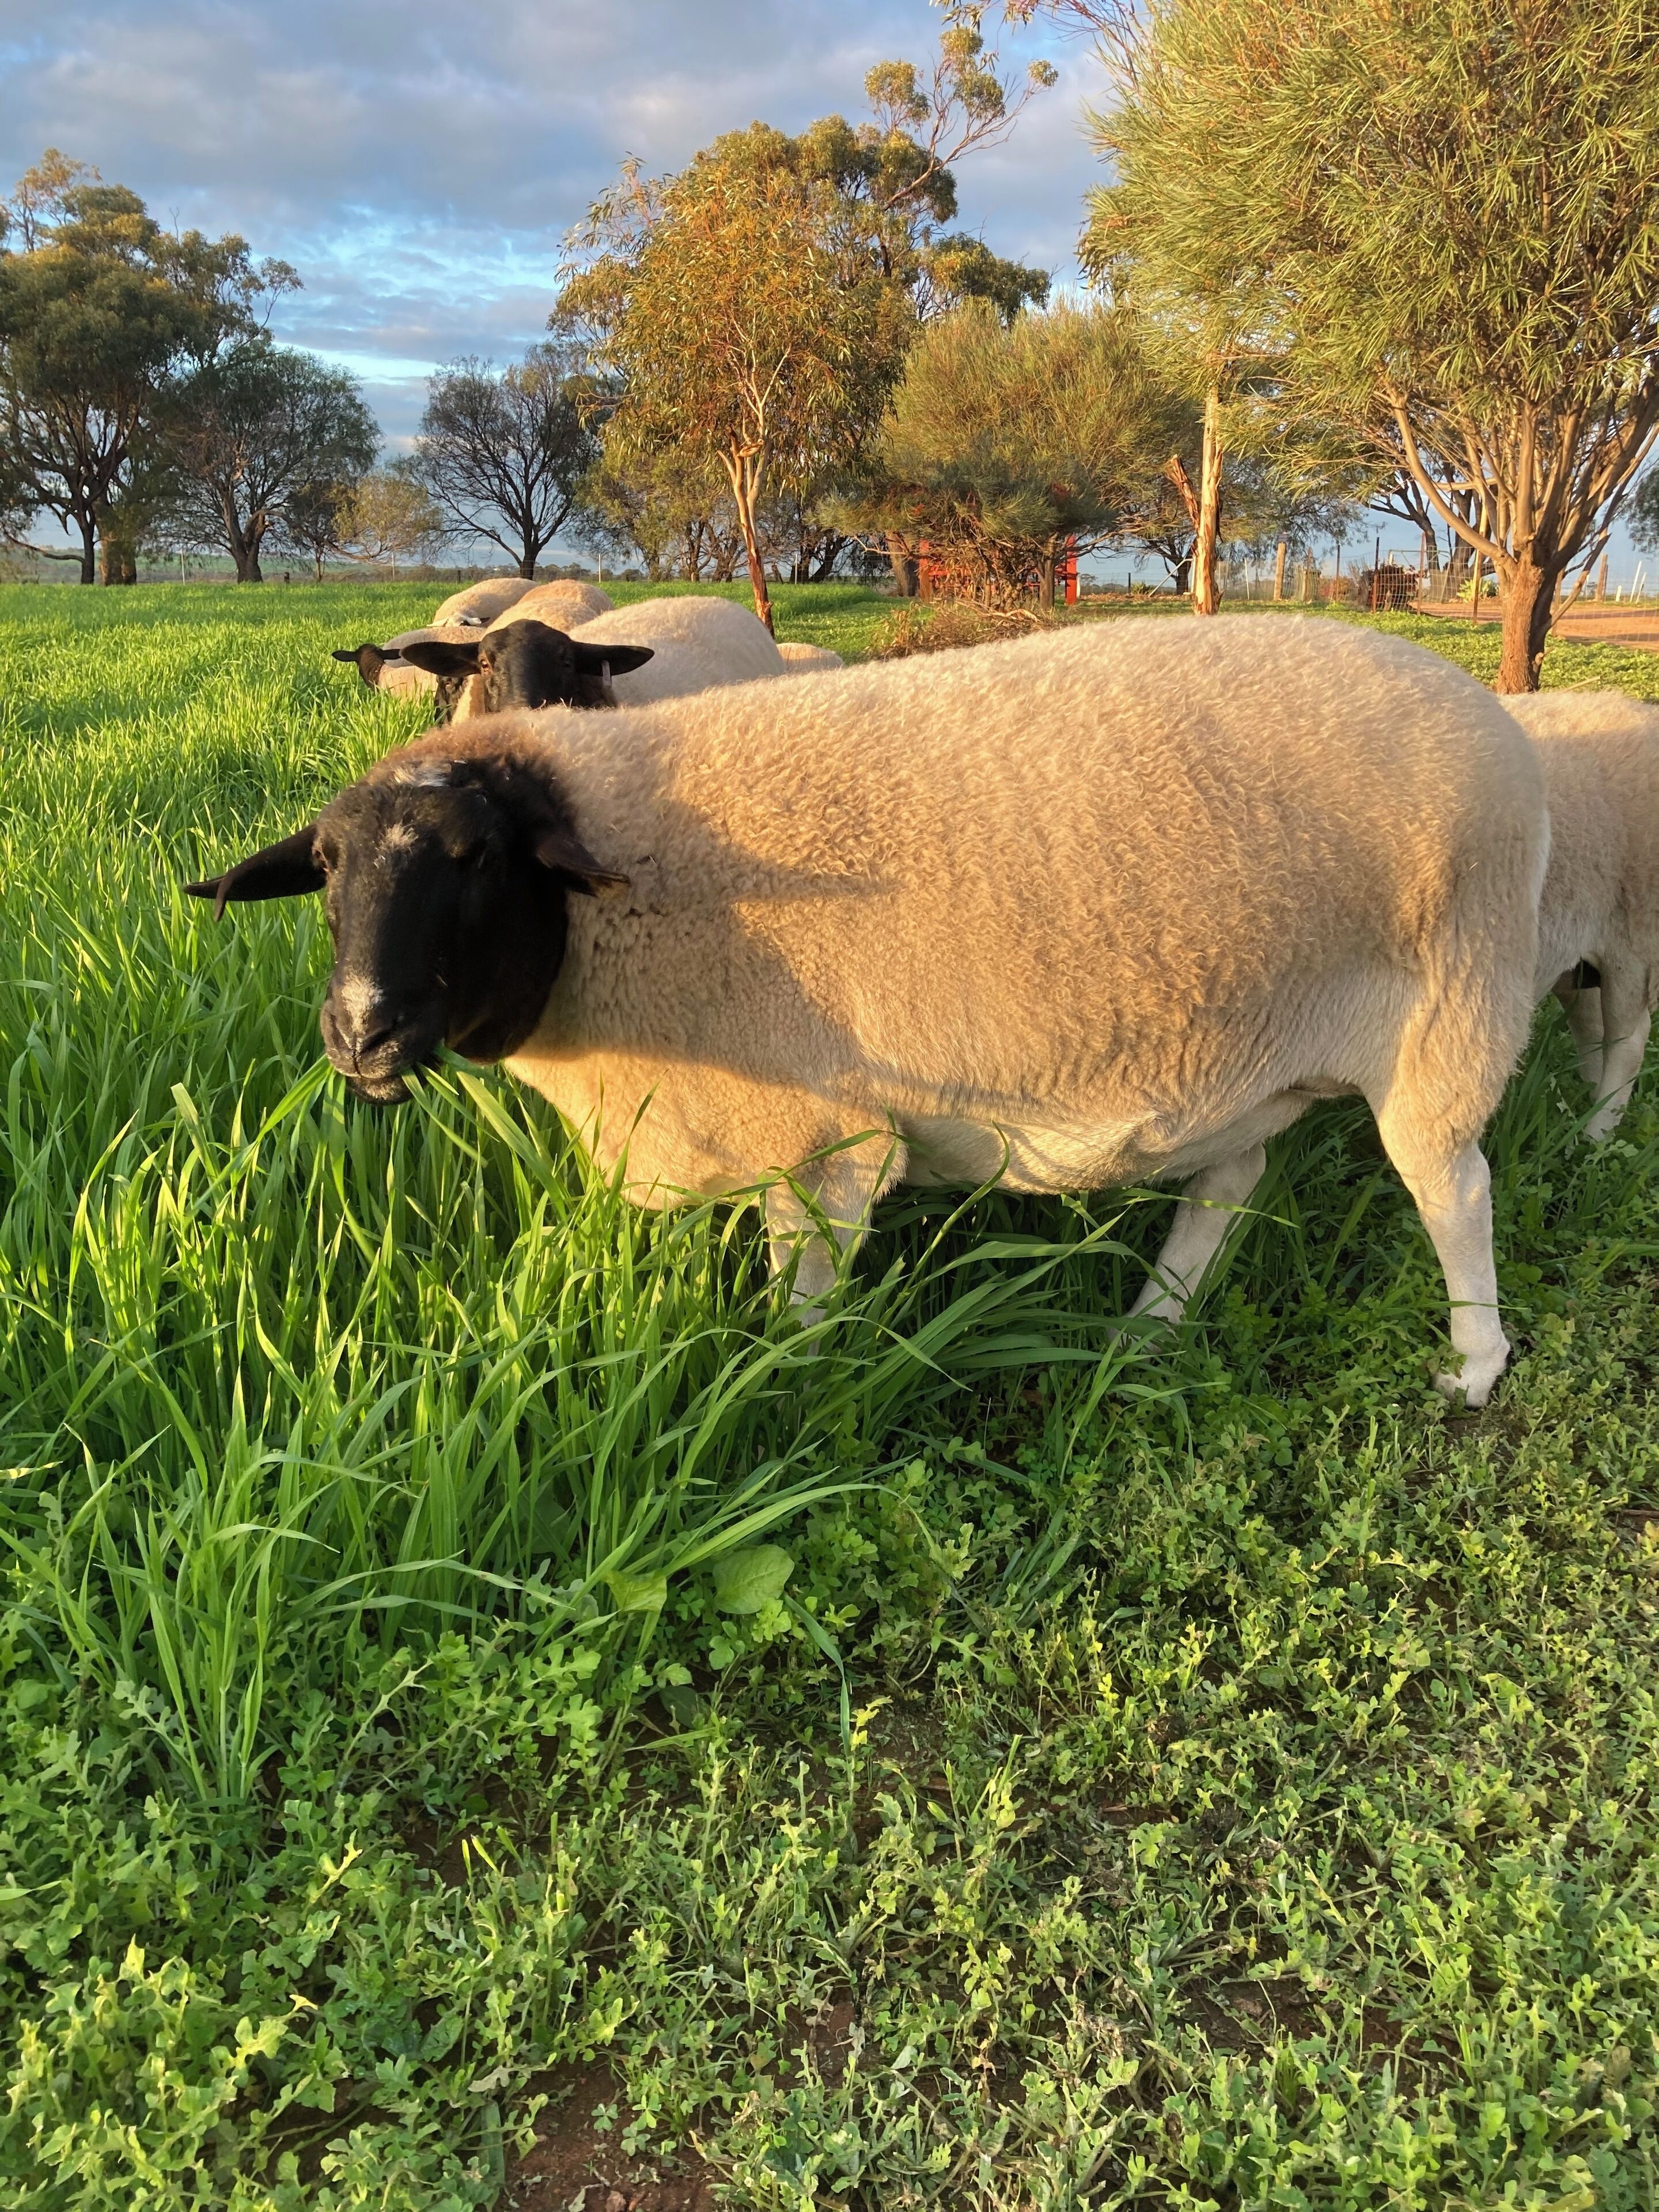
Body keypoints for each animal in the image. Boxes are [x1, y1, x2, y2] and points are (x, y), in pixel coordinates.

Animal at [186, 617, 1547, 1406]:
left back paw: (1474, 1365)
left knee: (1454, 1188)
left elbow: (799, 1322)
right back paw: (1149, 1330)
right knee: (1230, 1182)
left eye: (473, 860)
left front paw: (789, 1405)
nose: (358, 1034)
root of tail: (1486, 711)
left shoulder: (823, 1140)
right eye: (327, 872)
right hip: (1253, 1041)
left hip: (1454, 1007)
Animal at [1500, 690, 1659, 1139]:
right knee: (1591, 1027)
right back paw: (1583, 1113)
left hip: (1634, 941)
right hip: (1576, 956)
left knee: (1628, 1040)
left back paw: (1597, 1135)